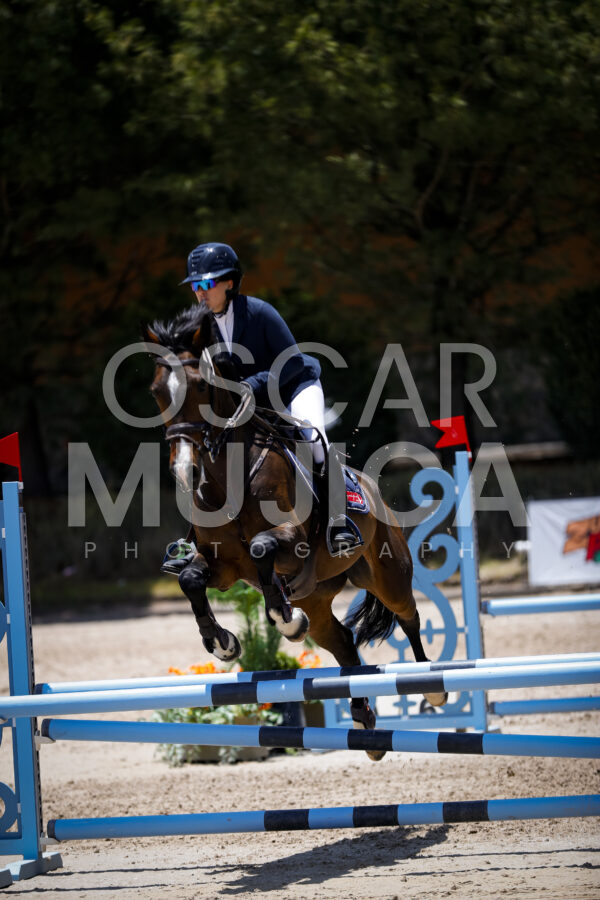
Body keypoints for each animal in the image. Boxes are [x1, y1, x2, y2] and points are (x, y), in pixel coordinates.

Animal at [145, 305, 447, 759]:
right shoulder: (222, 566)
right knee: (342, 643)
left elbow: (261, 547)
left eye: (199, 385)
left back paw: (431, 686)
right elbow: (191, 578)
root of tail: (371, 488)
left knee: (408, 615)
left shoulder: (293, 542)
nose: (185, 471)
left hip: (387, 573)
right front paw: (224, 643)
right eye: (157, 392)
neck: (228, 478)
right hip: (318, 597)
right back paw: (364, 721)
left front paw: (284, 622)